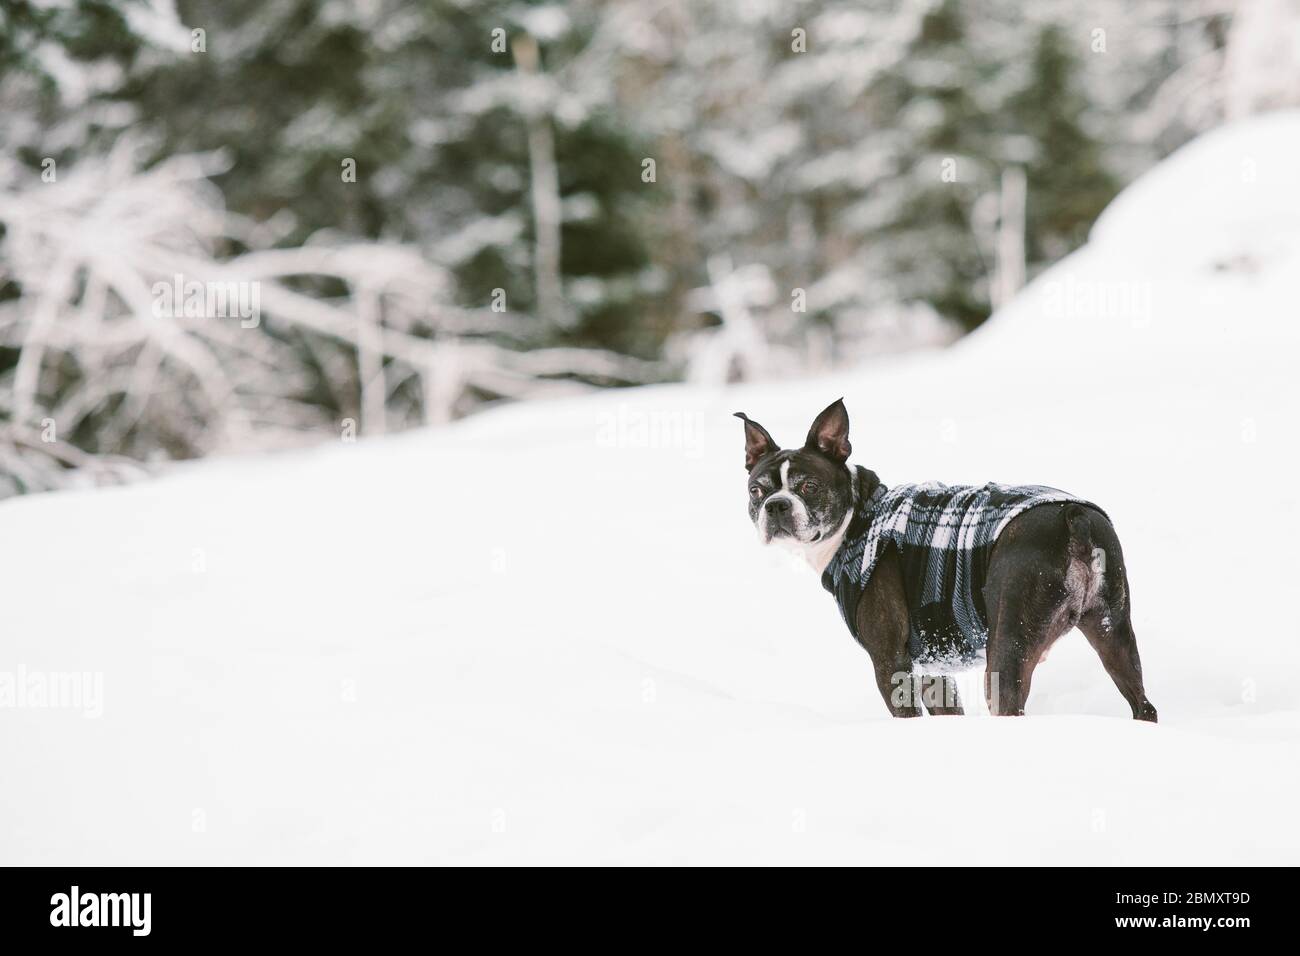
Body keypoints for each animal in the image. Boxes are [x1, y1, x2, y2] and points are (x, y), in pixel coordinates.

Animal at [743, 400, 1159, 723]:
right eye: (756, 491)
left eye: (808, 486)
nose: (776, 505)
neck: (859, 515)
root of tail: (1072, 518)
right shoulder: (934, 666)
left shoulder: (891, 661)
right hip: (1113, 629)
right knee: (1143, 704)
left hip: (1007, 647)